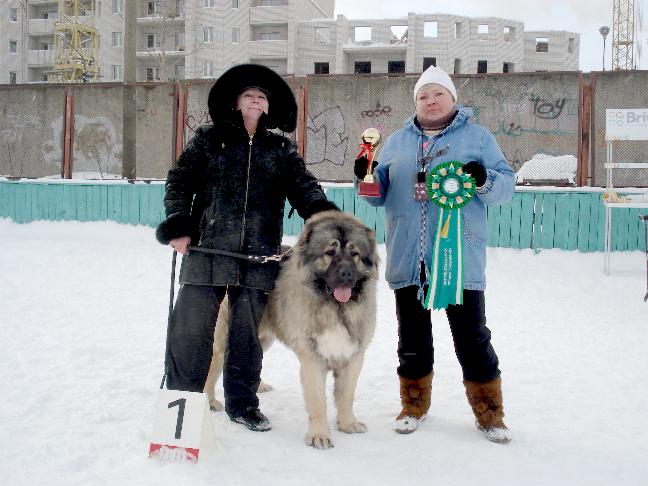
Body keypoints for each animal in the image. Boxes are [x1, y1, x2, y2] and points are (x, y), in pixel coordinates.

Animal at [205, 211, 380, 450]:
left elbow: (346, 396)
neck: (335, 308)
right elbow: (318, 402)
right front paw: (319, 435)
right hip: (227, 335)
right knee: (215, 364)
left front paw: (347, 424)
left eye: (355, 254)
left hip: (264, 337)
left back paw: (259, 386)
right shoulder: (312, 359)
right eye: (330, 252)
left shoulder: (353, 357)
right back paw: (209, 400)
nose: (346, 274)